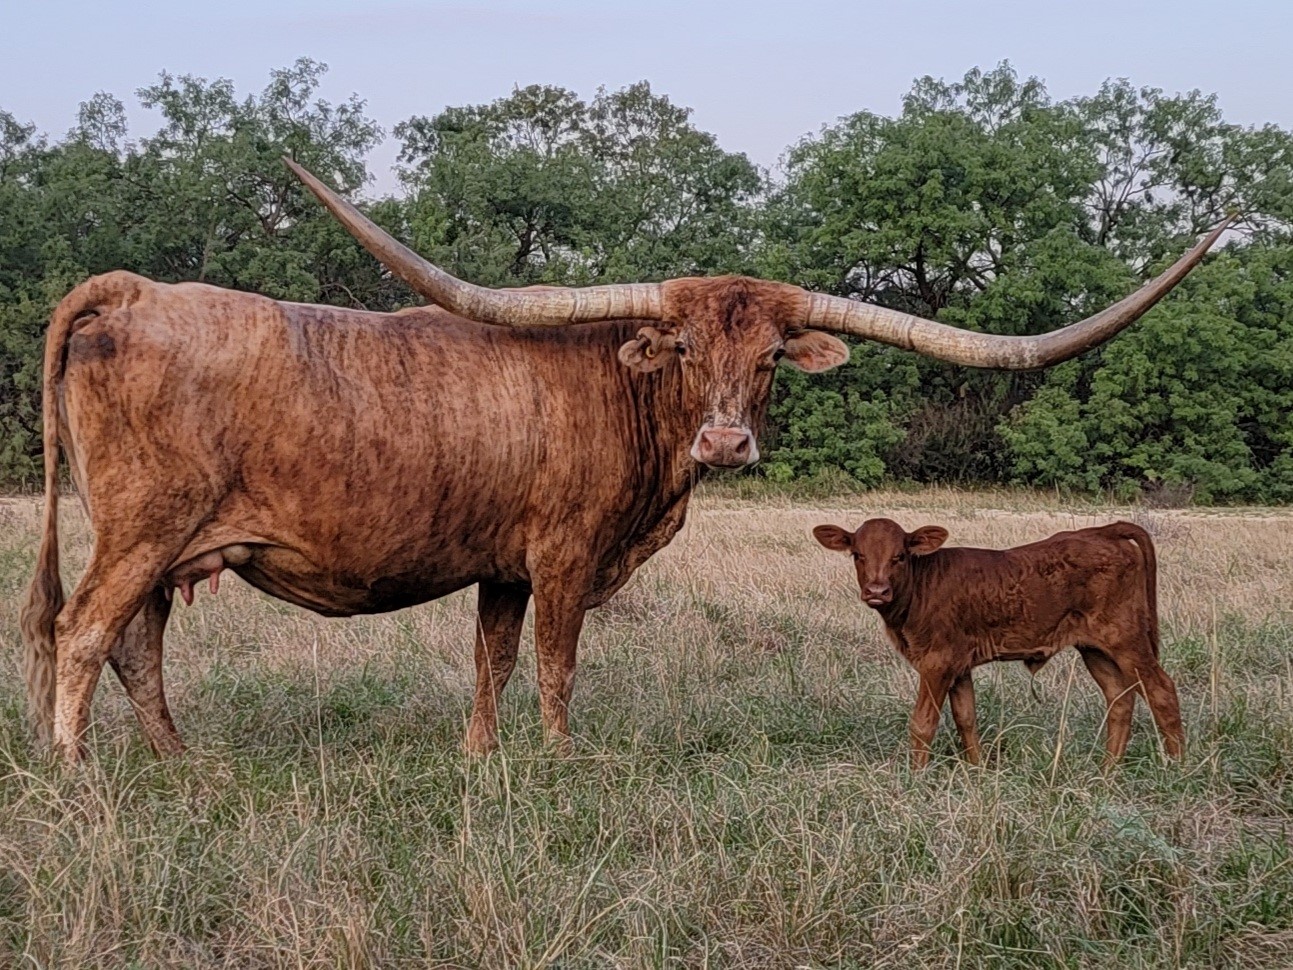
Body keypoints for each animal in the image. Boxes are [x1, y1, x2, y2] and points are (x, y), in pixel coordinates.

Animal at [813, 518, 1184, 768]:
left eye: (900, 556)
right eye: (857, 554)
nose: (877, 590)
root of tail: (1103, 531)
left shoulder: (936, 661)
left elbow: (923, 723)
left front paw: (914, 777)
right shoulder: (958, 664)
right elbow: (966, 718)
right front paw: (977, 771)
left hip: (1127, 638)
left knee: (1161, 691)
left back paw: (1176, 767)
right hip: (1095, 649)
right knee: (1119, 698)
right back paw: (1107, 770)